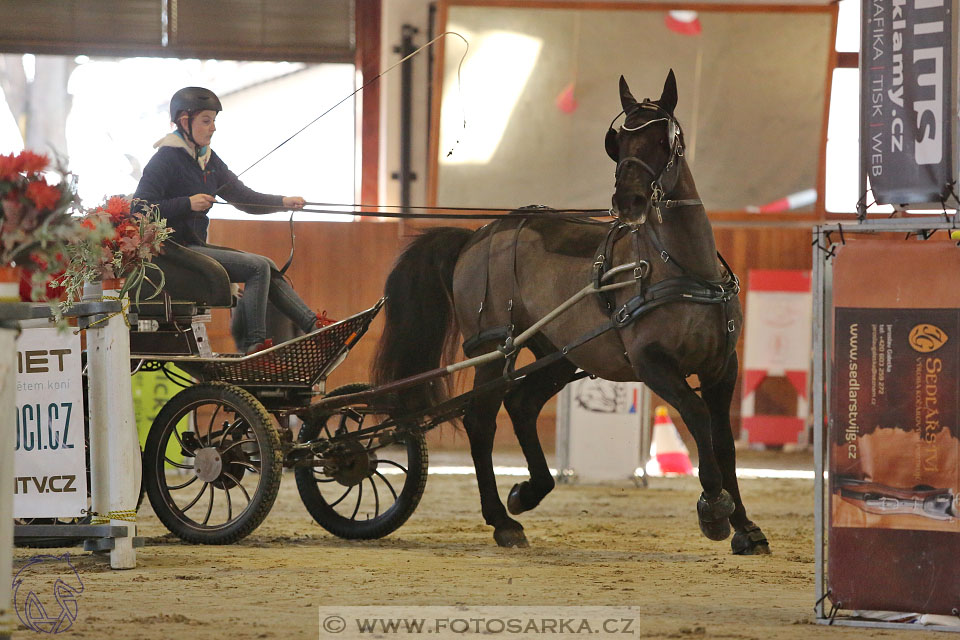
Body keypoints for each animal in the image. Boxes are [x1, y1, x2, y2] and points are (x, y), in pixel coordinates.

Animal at [372, 71, 768, 556]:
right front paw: (714, 507)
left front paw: (746, 526)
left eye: (664, 139)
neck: (683, 269)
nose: (630, 200)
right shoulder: (653, 364)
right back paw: (502, 520)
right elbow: (696, 417)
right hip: (493, 348)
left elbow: (725, 440)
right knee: (480, 420)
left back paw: (529, 492)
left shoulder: (721, 367)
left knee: (521, 404)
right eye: (619, 141)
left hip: (558, 354)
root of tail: (478, 234)